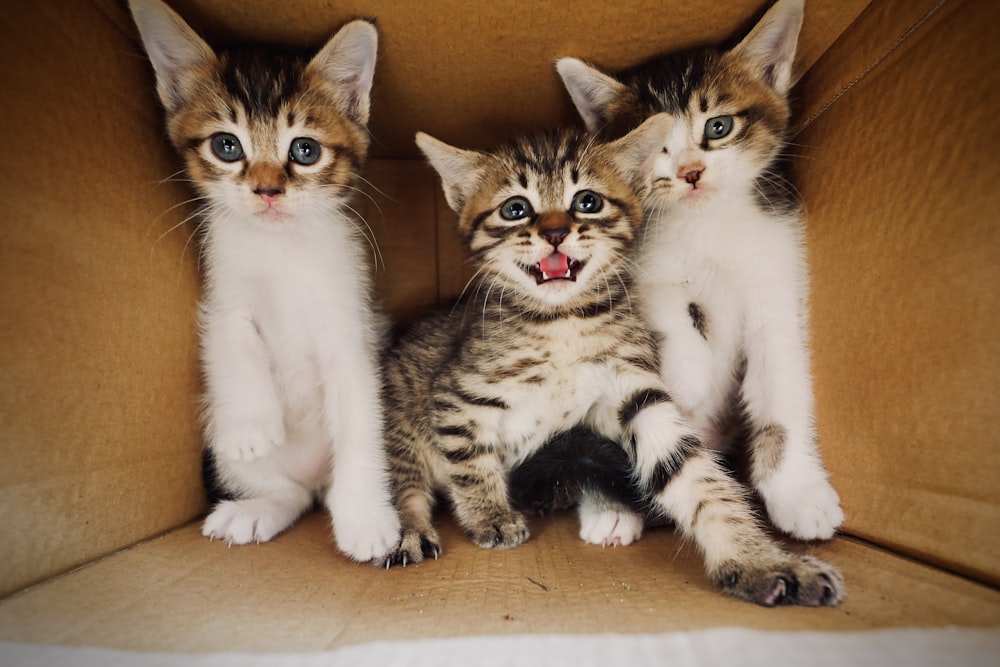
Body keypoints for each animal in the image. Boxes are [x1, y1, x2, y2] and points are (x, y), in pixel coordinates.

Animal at [129, 0, 398, 564]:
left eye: (305, 150)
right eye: (227, 146)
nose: (268, 190)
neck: (281, 248)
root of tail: (313, 479)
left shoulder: (353, 322)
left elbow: (360, 420)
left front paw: (367, 518)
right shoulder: (223, 294)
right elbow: (232, 343)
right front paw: (252, 426)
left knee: (320, 490)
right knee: (288, 493)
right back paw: (254, 508)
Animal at [382, 117, 844, 608]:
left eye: (588, 202)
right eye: (515, 209)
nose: (554, 233)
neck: (562, 322)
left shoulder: (633, 391)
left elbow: (694, 476)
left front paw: (759, 559)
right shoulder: (457, 395)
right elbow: (469, 459)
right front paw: (489, 514)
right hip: (400, 422)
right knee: (404, 485)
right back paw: (408, 532)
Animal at [556, 0, 844, 544]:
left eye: (718, 127)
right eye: (654, 146)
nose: (691, 172)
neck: (709, 224)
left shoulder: (777, 283)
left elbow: (782, 390)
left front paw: (799, 493)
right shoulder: (638, 271)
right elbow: (669, 311)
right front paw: (688, 377)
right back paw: (611, 510)